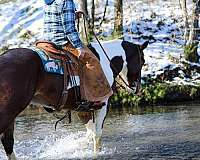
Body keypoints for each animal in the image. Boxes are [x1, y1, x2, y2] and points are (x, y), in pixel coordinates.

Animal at [0, 40, 148, 159]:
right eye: (143, 61)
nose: (137, 88)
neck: (105, 62)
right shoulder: (104, 104)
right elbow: (96, 134)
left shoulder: (83, 108)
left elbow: (90, 132)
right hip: (8, 112)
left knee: (8, 143)